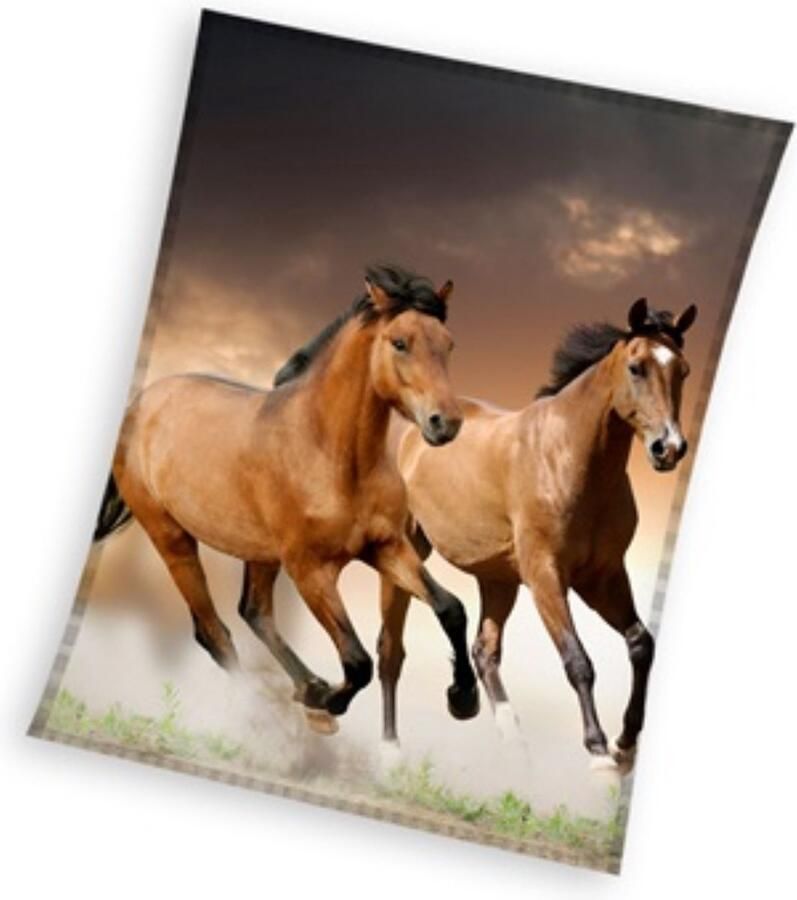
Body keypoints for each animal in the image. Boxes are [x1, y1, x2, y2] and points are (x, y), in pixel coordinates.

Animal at [94, 265, 479, 731]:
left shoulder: (386, 546)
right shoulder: (310, 570)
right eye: (400, 342)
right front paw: (329, 703)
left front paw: (464, 699)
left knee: (253, 612)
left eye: (449, 343)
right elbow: (357, 662)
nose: (446, 423)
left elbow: (451, 608)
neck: (332, 455)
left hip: (259, 551)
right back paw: (272, 711)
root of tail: (139, 404)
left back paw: (306, 688)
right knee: (214, 632)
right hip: (172, 539)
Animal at [378, 297, 697, 768]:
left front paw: (625, 742)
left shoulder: (602, 576)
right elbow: (577, 659)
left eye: (684, 370)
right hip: (406, 555)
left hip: (497, 578)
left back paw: (509, 742)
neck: (566, 458)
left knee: (484, 651)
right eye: (636, 367)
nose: (669, 448)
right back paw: (391, 748)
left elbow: (641, 644)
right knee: (390, 651)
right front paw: (598, 751)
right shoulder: (545, 575)